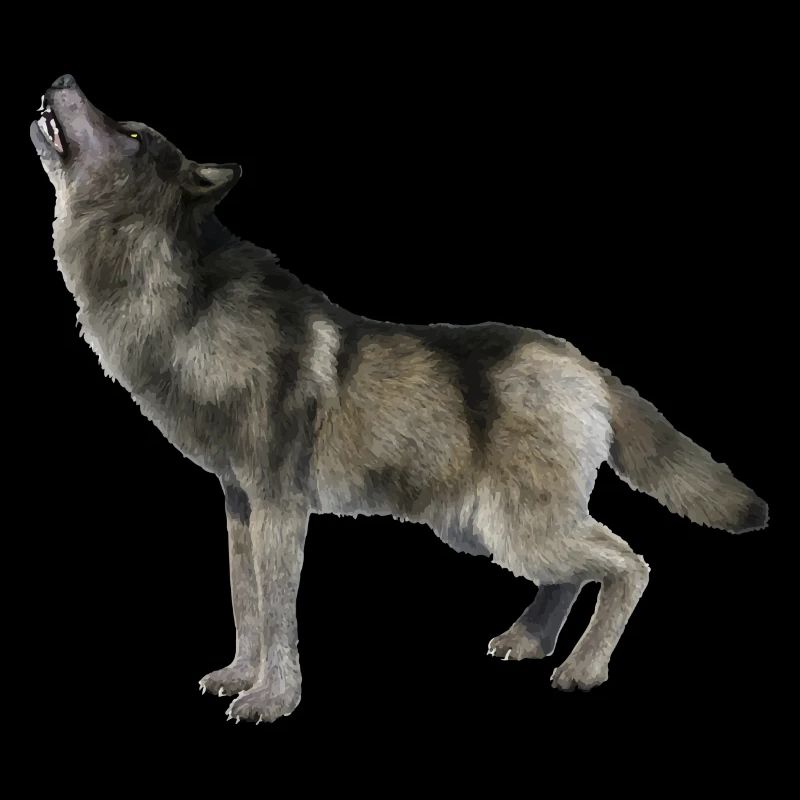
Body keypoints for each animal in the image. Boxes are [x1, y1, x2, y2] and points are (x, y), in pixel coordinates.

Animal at [32, 75, 768, 723]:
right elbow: (246, 606)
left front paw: (272, 701)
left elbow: (276, 614)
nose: (62, 78)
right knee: (576, 574)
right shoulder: (238, 506)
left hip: (515, 529)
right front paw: (241, 676)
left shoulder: (280, 507)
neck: (179, 300)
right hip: (489, 529)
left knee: (629, 563)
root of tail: (581, 362)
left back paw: (582, 669)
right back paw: (527, 642)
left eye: (132, 133)